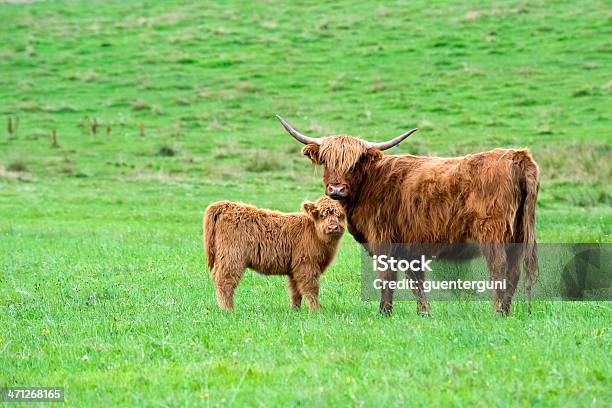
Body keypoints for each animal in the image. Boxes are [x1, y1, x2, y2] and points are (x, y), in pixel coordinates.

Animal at [204, 197, 344, 310]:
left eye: (340, 215)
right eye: (321, 215)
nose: (333, 228)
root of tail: (227, 205)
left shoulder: (294, 269)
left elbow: (295, 291)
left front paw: (295, 310)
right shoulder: (306, 265)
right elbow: (311, 289)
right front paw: (316, 311)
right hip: (232, 257)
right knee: (224, 281)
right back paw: (228, 310)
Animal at [278, 115, 540, 316]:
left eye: (355, 163)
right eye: (326, 161)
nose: (335, 189)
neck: (371, 183)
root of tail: (517, 156)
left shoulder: (383, 241)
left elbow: (387, 277)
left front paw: (384, 313)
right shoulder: (409, 248)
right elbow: (415, 281)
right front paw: (424, 312)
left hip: (492, 233)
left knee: (499, 268)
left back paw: (497, 312)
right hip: (519, 234)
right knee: (514, 272)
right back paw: (506, 311)